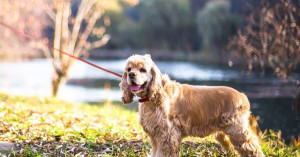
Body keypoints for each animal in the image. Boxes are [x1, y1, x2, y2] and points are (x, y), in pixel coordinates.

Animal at [118, 54, 264, 156]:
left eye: (142, 70)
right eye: (129, 69)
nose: (131, 74)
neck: (152, 97)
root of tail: (242, 96)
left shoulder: (168, 136)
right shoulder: (155, 137)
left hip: (238, 131)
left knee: (253, 149)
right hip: (223, 134)